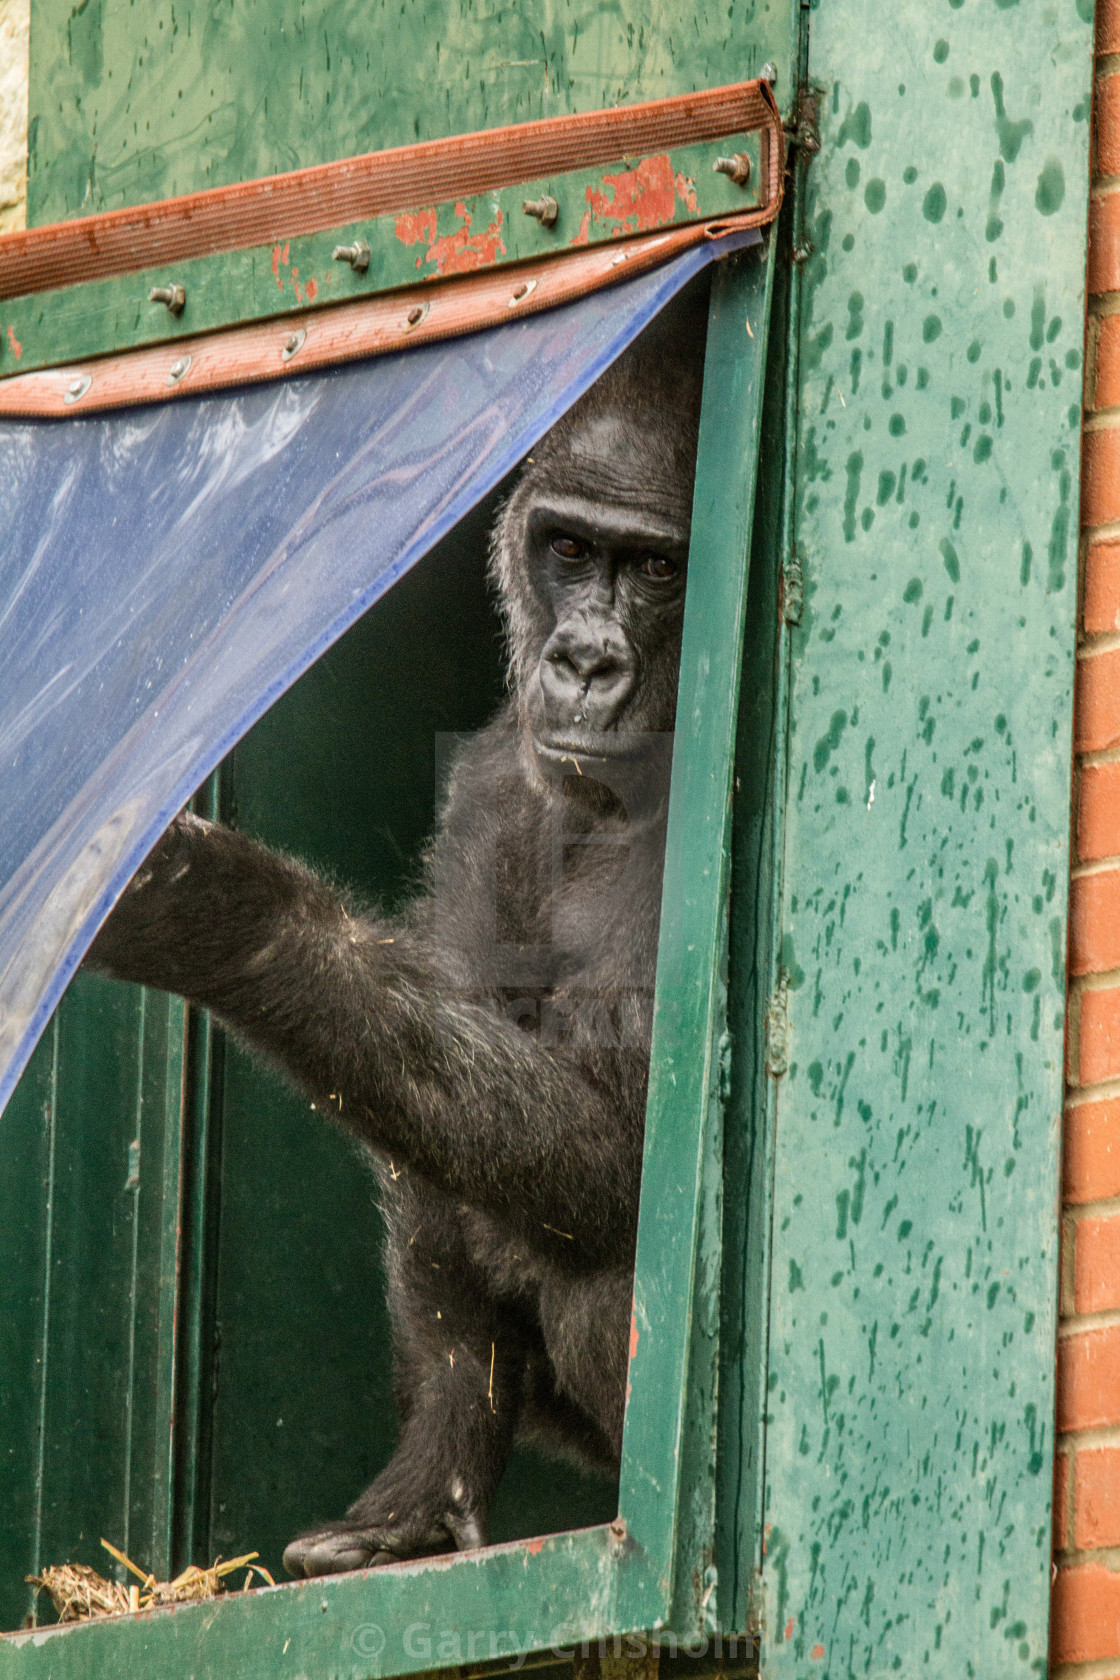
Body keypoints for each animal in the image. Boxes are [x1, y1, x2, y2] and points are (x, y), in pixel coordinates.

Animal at [83, 282, 705, 1579]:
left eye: (657, 568)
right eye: (570, 551)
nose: (584, 659)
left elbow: (619, 1148)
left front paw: (232, 918)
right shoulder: (494, 776)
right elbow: (430, 1101)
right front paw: (427, 1477)